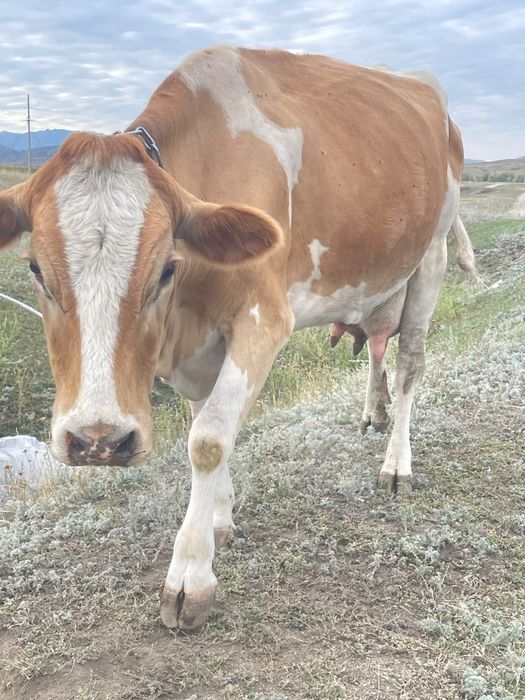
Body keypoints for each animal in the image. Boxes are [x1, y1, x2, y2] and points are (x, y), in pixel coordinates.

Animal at [0, 46, 476, 630]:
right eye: (35, 269)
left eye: (166, 269)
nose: (99, 440)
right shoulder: (201, 344)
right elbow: (208, 419)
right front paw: (220, 518)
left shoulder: (264, 319)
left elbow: (207, 438)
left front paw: (190, 573)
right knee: (379, 348)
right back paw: (375, 411)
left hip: (431, 254)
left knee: (410, 362)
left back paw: (396, 465)